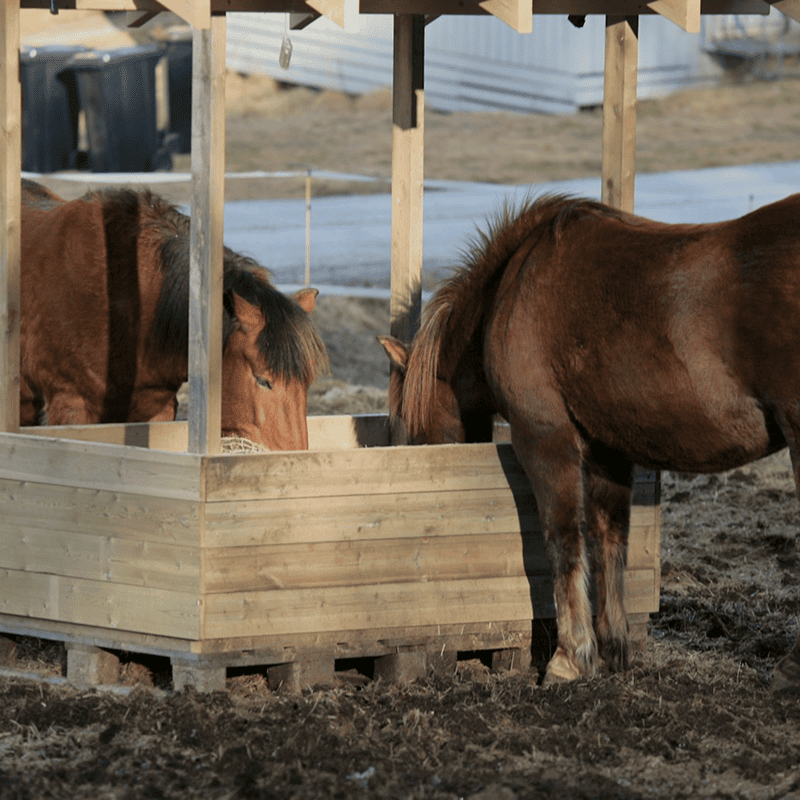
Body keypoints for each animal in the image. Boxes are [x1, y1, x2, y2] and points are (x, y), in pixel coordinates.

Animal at [379, 193, 800, 690]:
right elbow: (610, 538)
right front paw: (613, 646)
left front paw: (570, 656)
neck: (513, 286)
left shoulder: (545, 438)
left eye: (411, 431)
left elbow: (563, 538)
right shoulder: (609, 449)